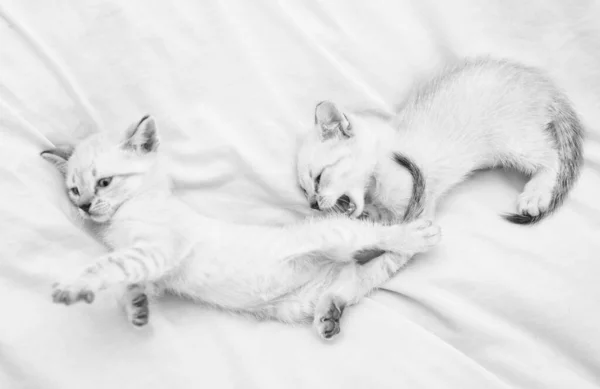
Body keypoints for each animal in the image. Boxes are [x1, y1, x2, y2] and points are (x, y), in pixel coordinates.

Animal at [39, 116, 438, 340]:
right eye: (74, 190)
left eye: (104, 183)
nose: (84, 207)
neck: (131, 211)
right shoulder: (153, 264)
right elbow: (129, 281)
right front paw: (136, 306)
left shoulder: (161, 247)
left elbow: (107, 266)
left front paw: (74, 287)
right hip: (302, 302)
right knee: (347, 287)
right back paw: (329, 317)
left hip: (337, 235)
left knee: (380, 237)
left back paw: (418, 234)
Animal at [298, 56, 584, 223]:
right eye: (304, 190)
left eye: (319, 177)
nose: (313, 204)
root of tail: (544, 85)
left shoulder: (418, 204)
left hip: (513, 140)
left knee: (552, 156)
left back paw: (535, 195)